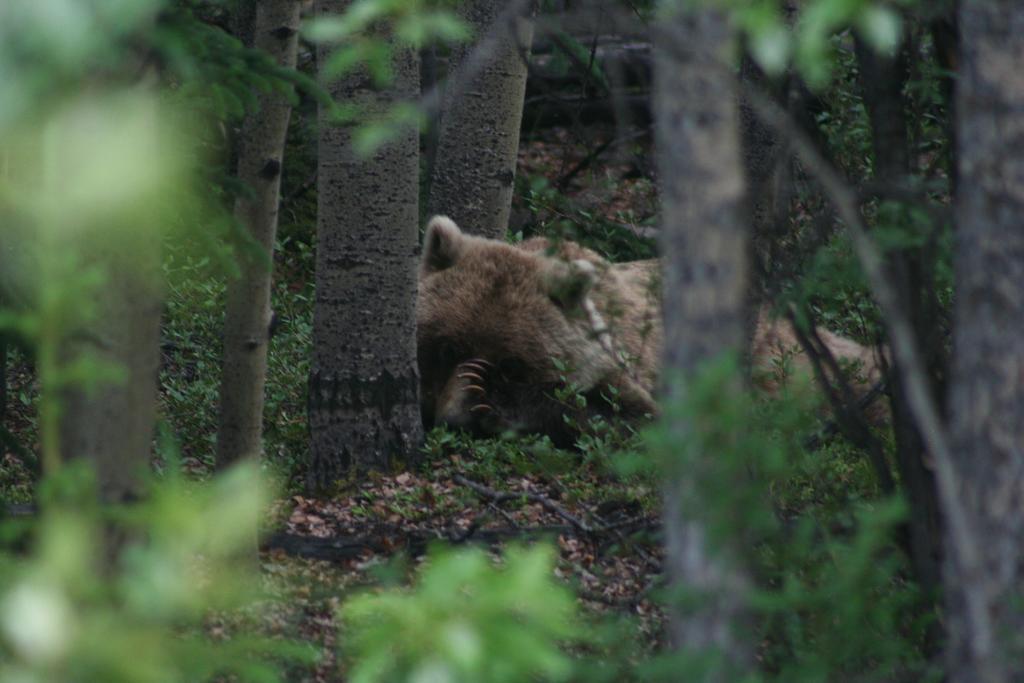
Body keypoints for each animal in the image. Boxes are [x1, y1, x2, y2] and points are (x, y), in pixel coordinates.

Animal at [415, 216, 888, 446]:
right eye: (446, 347)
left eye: (511, 365)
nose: (451, 418)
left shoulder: (621, 366)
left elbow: (630, 420)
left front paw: (494, 406)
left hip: (785, 369)